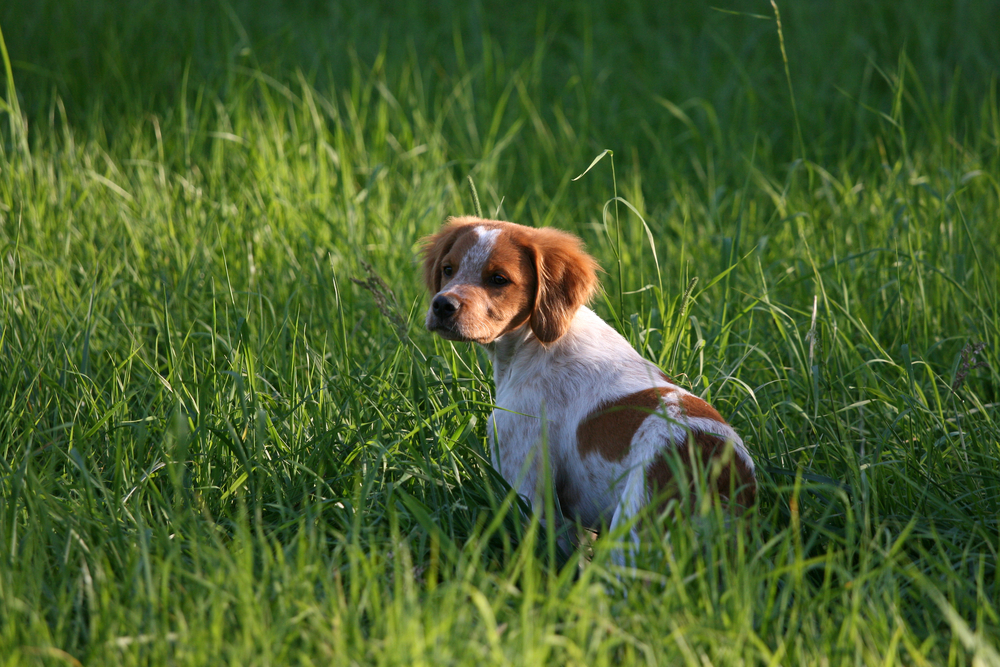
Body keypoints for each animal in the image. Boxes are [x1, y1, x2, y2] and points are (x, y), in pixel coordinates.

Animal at [422, 215, 756, 560]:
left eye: (498, 279)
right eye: (448, 269)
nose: (442, 305)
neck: (534, 343)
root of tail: (718, 465)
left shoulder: (526, 479)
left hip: (632, 527)